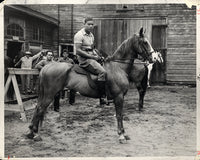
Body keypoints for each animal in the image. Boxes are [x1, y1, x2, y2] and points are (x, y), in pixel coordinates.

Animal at [26, 27, 155, 142]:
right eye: (145, 42)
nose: (153, 58)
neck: (118, 67)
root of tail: (46, 67)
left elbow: (119, 114)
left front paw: (123, 134)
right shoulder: (118, 97)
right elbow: (119, 115)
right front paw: (121, 135)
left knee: (38, 108)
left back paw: (32, 132)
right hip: (49, 94)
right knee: (40, 109)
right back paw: (35, 134)